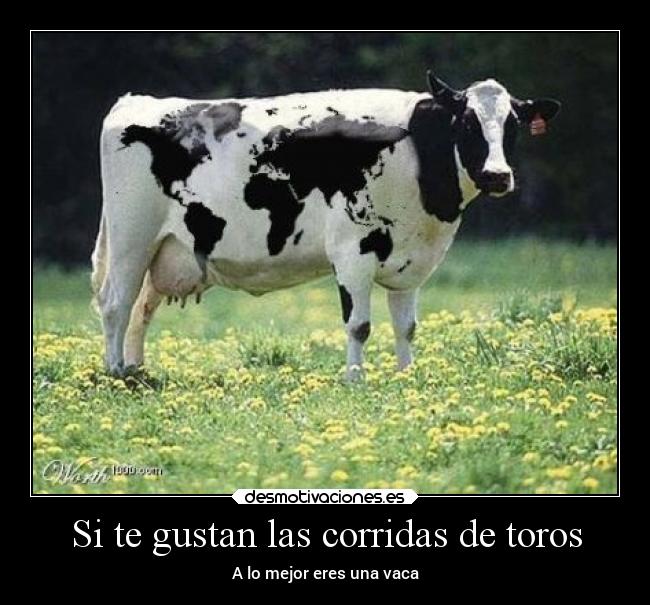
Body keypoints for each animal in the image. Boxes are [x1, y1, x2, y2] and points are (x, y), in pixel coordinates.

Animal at [91, 71, 560, 378]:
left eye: (513, 125)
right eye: (466, 122)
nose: (498, 175)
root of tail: (136, 101)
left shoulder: (410, 261)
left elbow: (406, 326)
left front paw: (406, 377)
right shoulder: (353, 250)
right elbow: (359, 325)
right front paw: (355, 379)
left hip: (166, 249)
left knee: (141, 309)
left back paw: (136, 371)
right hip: (132, 239)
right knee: (116, 303)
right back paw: (115, 373)